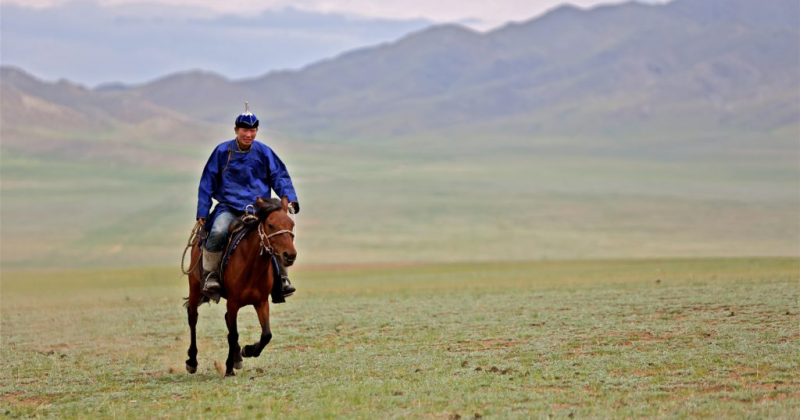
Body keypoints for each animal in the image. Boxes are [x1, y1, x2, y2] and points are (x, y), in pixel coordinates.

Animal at [183, 197, 296, 378]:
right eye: (271, 225)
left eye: (291, 224)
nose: (290, 255)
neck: (252, 266)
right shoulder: (234, 302)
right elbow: (233, 334)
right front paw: (229, 368)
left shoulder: (261, 302)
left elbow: (266, 334)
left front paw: (248, 350)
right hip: (194, 289)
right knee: (193, 318)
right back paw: (192, 361)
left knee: (226, 319)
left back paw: (237, 357)